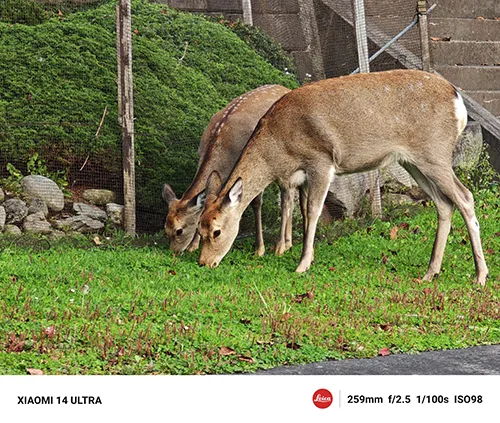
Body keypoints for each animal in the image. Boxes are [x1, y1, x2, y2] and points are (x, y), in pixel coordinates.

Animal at [161, 84, 292, 256]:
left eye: (179, 230)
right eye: (166, 229)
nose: (174, 252)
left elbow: (256, 203)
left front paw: (259, 249)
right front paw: (193, 246)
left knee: (287, 197)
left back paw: (282, 245)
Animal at [198, 69, 488, 286]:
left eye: (216, 231)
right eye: (199, 230)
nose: (204, 262)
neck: (278, 151)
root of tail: (459, 103)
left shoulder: (321, 160)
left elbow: (313, 211)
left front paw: (303, 264)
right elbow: (300, 210)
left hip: (434, 151)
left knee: (465, 196)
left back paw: (480, 275)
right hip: (413, 161)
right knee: (444, 203)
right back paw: (430, 272)